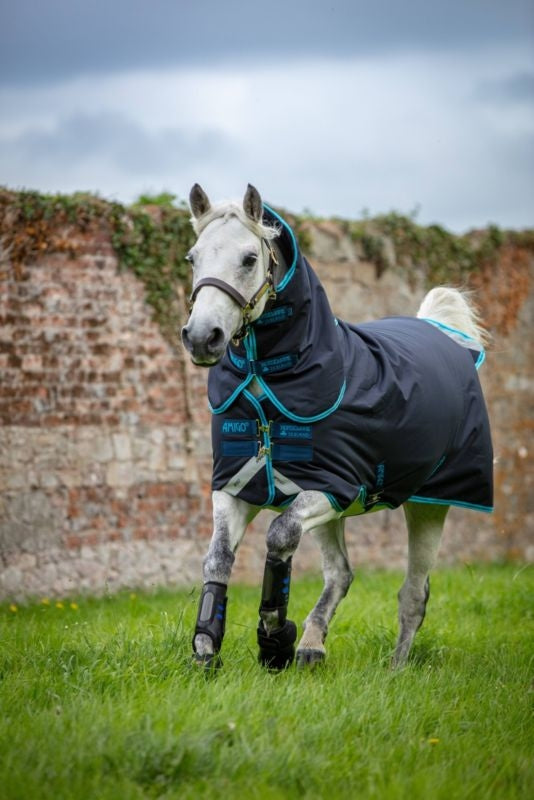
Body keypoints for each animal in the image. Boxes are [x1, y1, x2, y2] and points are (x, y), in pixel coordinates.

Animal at [181, 183, 493, 670]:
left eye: (250, 258)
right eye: (193, 258)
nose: (201, 337)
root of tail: (440, 331)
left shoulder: (333, 486)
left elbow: (279, 536)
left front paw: (274, 638)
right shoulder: (236, 486)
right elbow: (217, 560)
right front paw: (207, 648)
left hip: (429, 504)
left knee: (413, 594)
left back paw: (395, 669)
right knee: (341, 574)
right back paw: (312, 646)